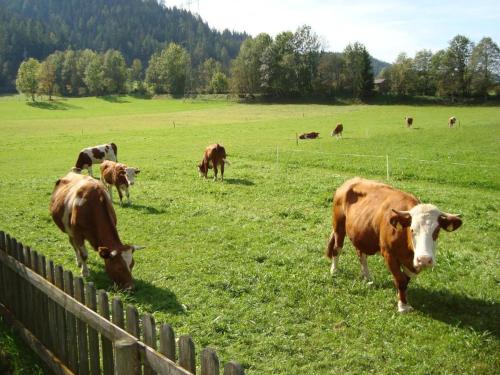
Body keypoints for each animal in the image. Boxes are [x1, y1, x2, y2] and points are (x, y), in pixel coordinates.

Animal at [326, 178, 462, 312]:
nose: (424, 259)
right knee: (337, 248)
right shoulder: (389, 254)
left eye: (437, 231)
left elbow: (405, 280)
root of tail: (349, 181)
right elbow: (400, 279)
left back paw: (367, 276)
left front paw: (401, 298)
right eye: (412, 229)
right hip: (338, 226)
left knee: (361, 254)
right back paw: (334, 271)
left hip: (360, 233)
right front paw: (402, 306)